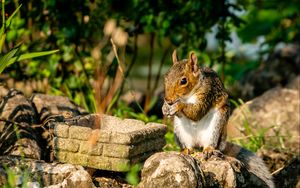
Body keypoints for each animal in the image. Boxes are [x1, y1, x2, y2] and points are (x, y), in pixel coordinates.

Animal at [162, 50, 274, 188]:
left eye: (183, 81)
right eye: (166, 77)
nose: (168, 99)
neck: (189, 95)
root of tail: (198, 144)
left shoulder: (207, 93)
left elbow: (197, 112)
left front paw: (178, 105)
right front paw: (165, 107)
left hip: (215, 127)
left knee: (210, 144)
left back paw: (209, 150)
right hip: (180, 132)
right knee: (189, 146)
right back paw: (186, 150)